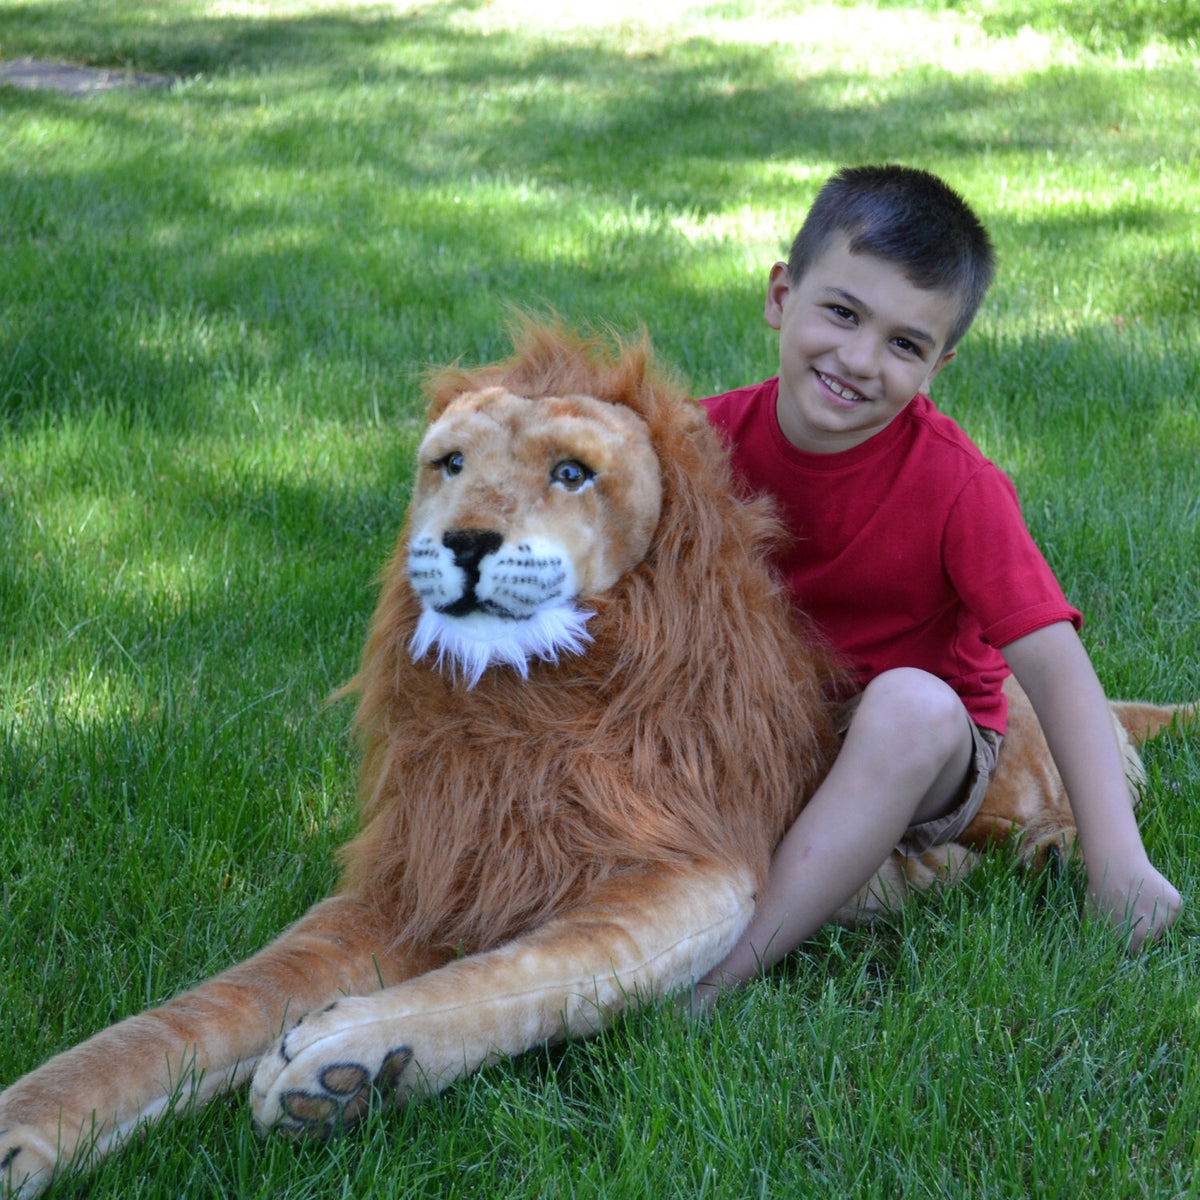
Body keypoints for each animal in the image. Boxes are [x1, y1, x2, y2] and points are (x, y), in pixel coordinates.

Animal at [0, 322, 1193, 1198]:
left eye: (572, 473)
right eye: (449, 465)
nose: (465, 542)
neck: (523, 710)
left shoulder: (686, 867)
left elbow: (525, 974)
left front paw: (345, 1066)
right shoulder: (423, 877)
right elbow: (183, 1019)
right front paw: (26, 1130)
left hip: (1005, 746)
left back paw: (1053, 854)